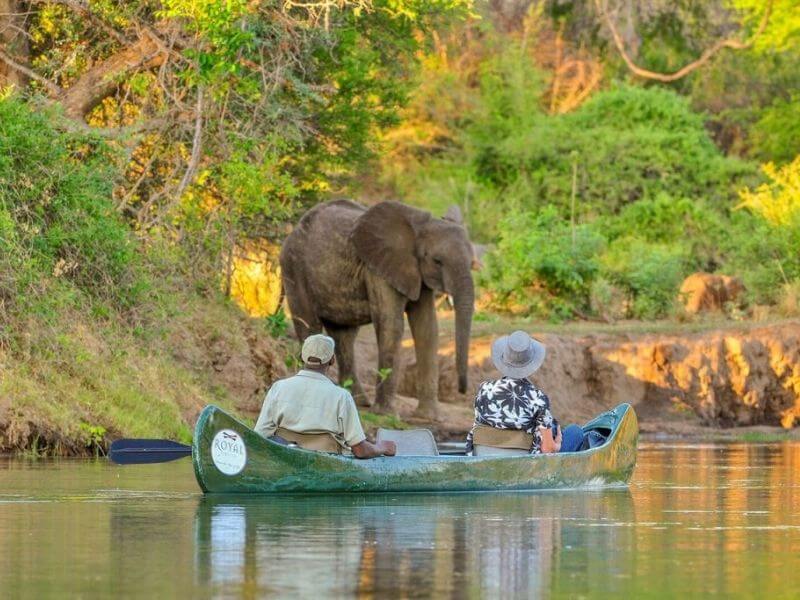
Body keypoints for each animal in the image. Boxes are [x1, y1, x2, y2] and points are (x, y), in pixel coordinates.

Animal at [280, 200, 476, 418]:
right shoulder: (378, 269)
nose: (462, 390)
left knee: (343, 336)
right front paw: (386, 414)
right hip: (294, 268)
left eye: (472, 263)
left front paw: (428, 417)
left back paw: (358, 401)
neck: (417, 229)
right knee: (310, 326)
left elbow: (427, 329)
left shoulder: (418, 274)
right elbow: (391, 325)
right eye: (437, 261)